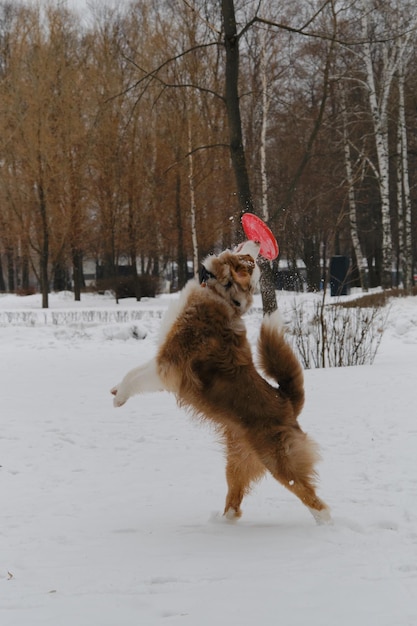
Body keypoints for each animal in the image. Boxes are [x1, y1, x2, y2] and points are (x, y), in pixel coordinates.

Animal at [109, 244, 328, 520]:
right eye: (249, 259)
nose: (258, 242)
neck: (219, 292)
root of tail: (287, 402)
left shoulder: (167, 366)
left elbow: (133, 375)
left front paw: (119, 397)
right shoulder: (163, 362)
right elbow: (134, 371)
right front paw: (117, 390)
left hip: (279, 462)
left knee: (313, 499)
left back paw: (326, 525)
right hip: (237, 461)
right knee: (235, 502)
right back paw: (222, 524)